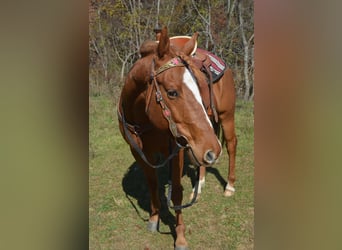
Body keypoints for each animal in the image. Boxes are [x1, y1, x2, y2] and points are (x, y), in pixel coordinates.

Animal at [117, 26, 235, 249]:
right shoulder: (138, 152)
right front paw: (154, 218)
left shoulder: (177, 150)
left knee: (232, 145)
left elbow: (177, 192)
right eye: (172, 92)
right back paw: (200, 184)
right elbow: (152, 183)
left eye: (199, 87)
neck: (143, 120)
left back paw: (230, 187)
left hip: (226, 118)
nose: (214, 150)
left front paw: (180, 237)